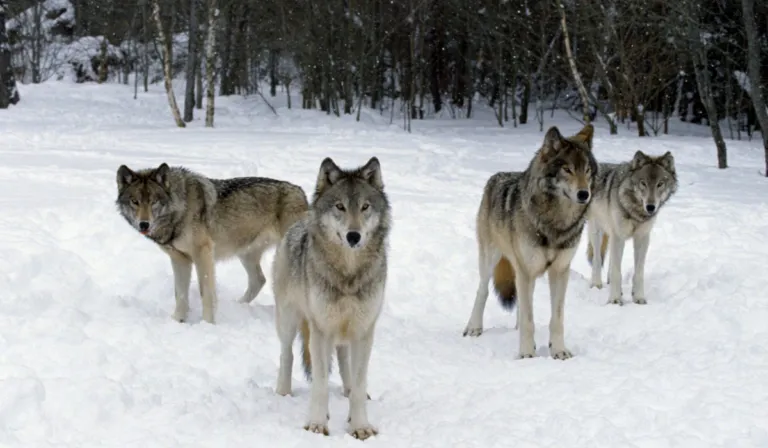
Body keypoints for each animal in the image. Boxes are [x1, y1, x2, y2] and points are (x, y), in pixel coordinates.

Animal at [115, 163, 309, 324]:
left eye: (154, 201)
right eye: (135, 201)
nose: (144, 224)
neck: (180, 208)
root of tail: (301, 192)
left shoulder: (203, 253)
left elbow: (206, 293)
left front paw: (208, 324)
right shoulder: (179, 259)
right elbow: (180, 294)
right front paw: (178, 321)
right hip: (246, 254)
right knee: (259, 280)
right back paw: (239, 305)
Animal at [272, 157, 391, 440]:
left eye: (365, 207)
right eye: (340, 207)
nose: (353, 236)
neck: (348, 273)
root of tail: (298, 222)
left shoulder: (364, 330)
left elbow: (358, 383)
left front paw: (359, 426)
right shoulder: (321, 330)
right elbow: (320, 383)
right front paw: (317, 424)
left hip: (344, 331)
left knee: (344, 360)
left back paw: (347, 391)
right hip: (289, 320)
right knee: (287, 355)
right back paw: (283, 392)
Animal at [462, 124, 597, 360]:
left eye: (587, 170)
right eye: (567, 169)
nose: (584, 194)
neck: (556, 223)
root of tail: (496, 176)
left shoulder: (560, 270)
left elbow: (556, 318)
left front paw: (559, 351)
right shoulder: (526, 269)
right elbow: (528, 320)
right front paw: (526, 354)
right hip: (491, 259)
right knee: (483, 291)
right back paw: (474, 327)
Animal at [586, 150, 678, 305]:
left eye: (660, 184)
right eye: (643, 183)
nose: (651, 207)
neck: (636, 212)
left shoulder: (642, 238)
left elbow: (638, 272)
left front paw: (638, 297)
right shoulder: (618, 236)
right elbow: (617, 272)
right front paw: (615, 299)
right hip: (596, 231)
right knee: (597, 259)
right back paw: (596, 284)